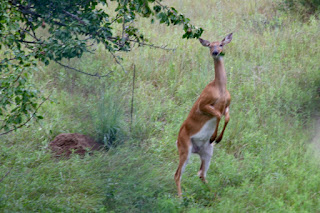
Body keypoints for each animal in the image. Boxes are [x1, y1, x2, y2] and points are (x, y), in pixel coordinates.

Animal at [174, 32, 234, 196]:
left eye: (221, 44)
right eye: (210, 45)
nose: (215, 52)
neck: (220, 89)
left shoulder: (227, 105)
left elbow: (227, 118)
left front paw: (218, 138)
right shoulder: (203, 104)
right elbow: (218, 115)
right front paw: (214, 137)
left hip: (207, 151)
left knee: (201, 173)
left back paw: (214, 194)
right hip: (185, 149)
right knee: (177, 174)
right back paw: (180, 198)